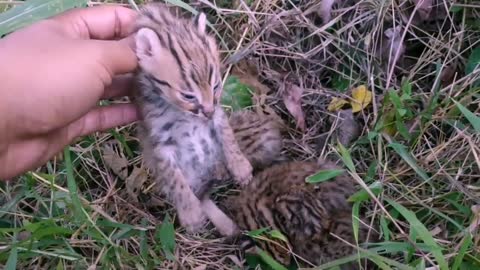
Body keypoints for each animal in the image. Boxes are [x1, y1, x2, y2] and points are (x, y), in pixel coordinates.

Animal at [133, 4, 284, 236]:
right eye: (188, 96)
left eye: (215, 86)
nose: (207, 111)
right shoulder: (160, 142)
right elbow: (174, 178)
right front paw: (190, 213)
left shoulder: (219, 115)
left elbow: (228, 137)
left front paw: (241, 167)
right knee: (200, 195)